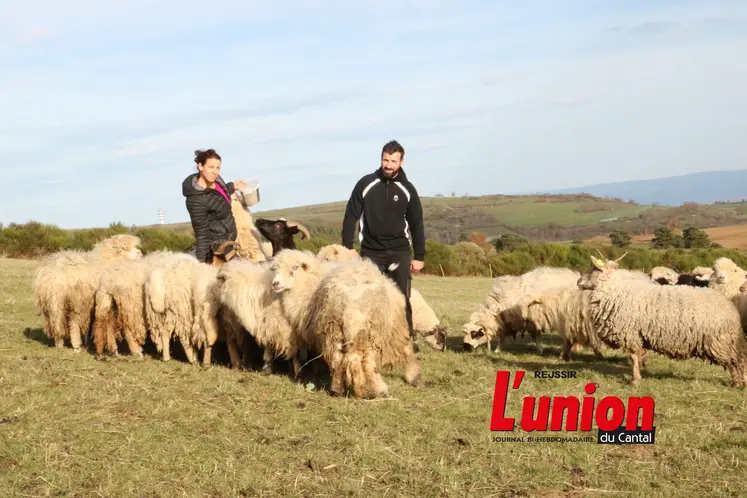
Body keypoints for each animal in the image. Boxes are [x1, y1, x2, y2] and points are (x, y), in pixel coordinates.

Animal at [269, 249, 420, 398]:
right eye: (276, 269)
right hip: (365, 330)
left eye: (295, 267)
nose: (275, 283)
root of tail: (350, 306)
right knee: (364, 362)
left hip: (338, 328)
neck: (308, 287)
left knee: (342, 360)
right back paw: (373, 390)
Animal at [577, 253, 747, 387]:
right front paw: (642, 368)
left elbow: (633, 357)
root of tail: (730, 308)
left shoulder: (630, 333)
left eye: (594, 270)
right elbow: (639, 355)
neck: (616, 289)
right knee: (740, 358)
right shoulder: (638, 334)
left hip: (721, 342)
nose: (578, 282)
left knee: (735, 360)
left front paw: (635, 380)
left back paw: (737, 383)